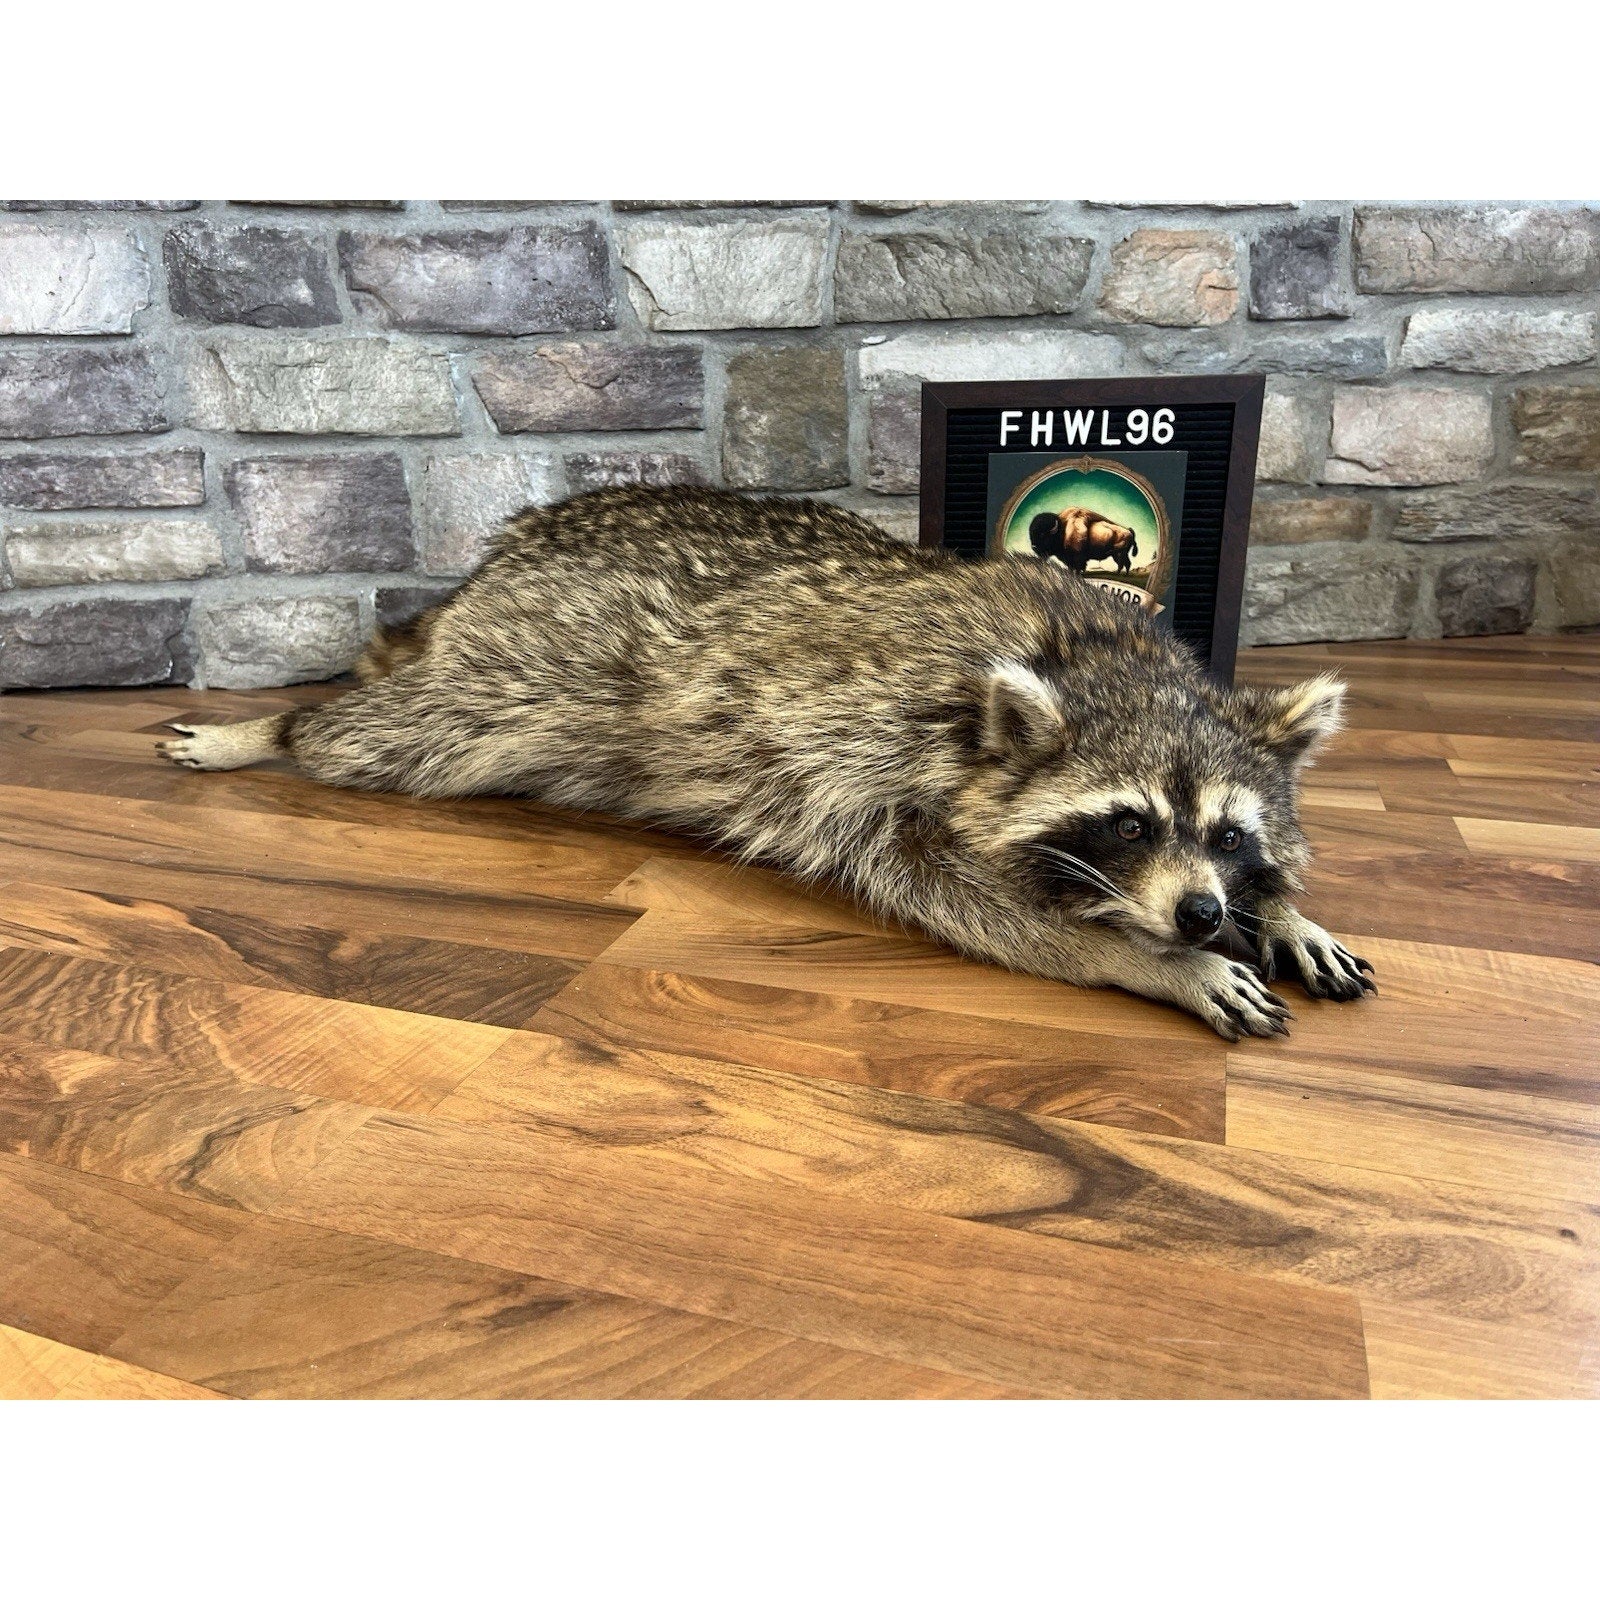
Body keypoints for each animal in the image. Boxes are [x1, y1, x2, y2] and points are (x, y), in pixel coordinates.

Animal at [160, 486, 1374, 1039]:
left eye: (1228, 833)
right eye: (1127, 823)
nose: (1200, 913)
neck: (1100, 656)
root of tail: (499, 558)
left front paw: (1281, 910)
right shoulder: (874, 756)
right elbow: (953, 892)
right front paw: (1143, 958)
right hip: (516, 669)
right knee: (391, 733)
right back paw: (277, 730)